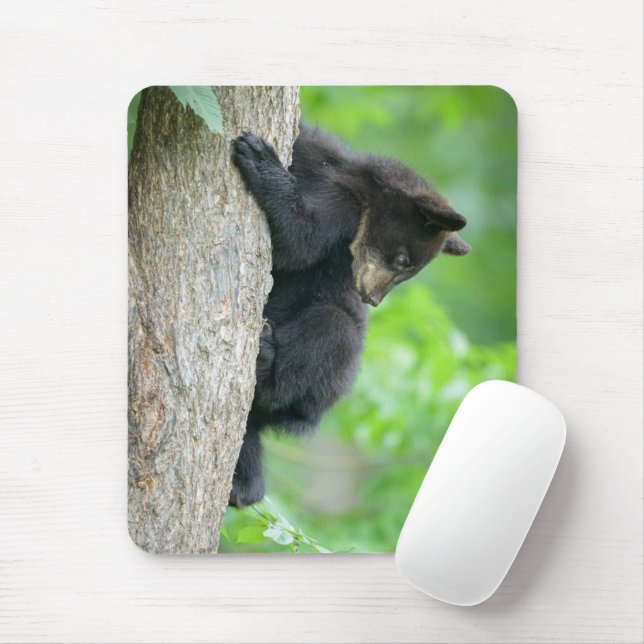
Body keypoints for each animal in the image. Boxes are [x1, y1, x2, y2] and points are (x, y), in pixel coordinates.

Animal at [229, 123, 470, 508]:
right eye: (402, 260)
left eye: (408, 270)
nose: (372, 299)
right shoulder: (318, 157)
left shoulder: (343, 213)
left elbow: (300, 243)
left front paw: (260, 159)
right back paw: (243, 485)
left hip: (329, 377)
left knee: (329, 333)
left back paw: (265, 364)